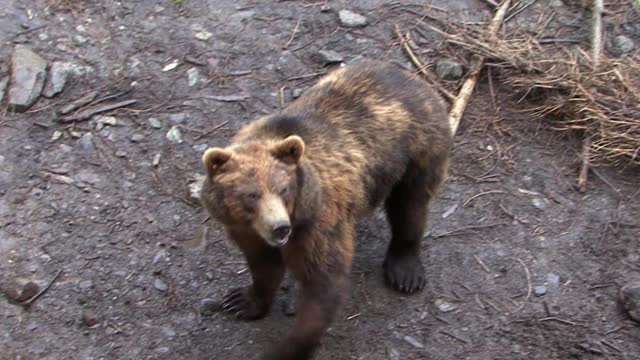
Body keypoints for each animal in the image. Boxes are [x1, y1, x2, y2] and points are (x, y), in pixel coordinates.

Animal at [198, 60, 452, 358]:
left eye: (283, 190)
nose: (280, 228)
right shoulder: (244, 230)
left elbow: (323, 284)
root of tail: (415, 78)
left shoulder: (318, 223)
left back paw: (405, 270)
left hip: (419, 147)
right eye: (251, 195)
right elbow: (264, 266)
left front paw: (286, 348)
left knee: (410, 205)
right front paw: (241, 301)